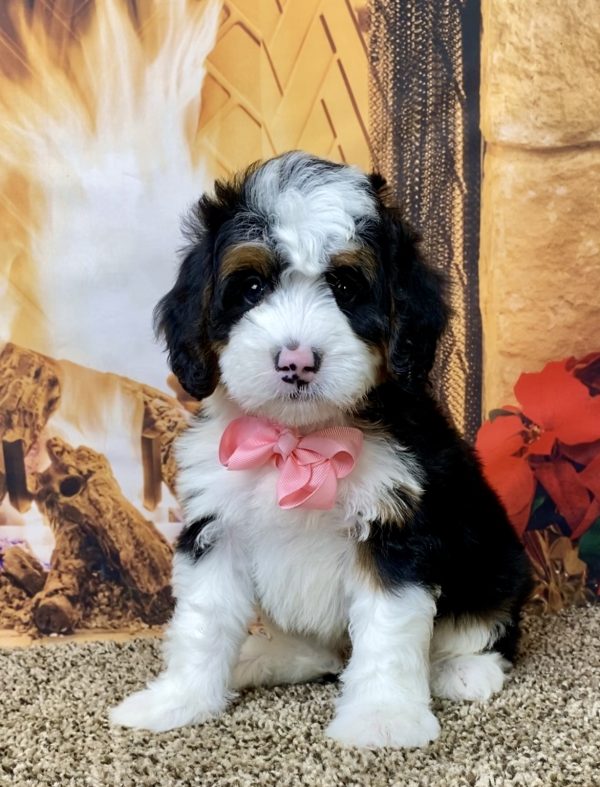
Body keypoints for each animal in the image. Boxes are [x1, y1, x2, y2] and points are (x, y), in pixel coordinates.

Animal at [110, 151, 532, 748]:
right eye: (252, 287)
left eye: (346, 287)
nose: (297, 362)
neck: (301, 439)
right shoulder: (217, 525)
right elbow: (201, 621)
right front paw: (176, 701)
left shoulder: (396, 529)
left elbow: (388, 633)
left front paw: (382, 718)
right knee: (321, 652)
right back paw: (263, 658)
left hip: (497, 563)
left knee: (486, 624)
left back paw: (464, 669)